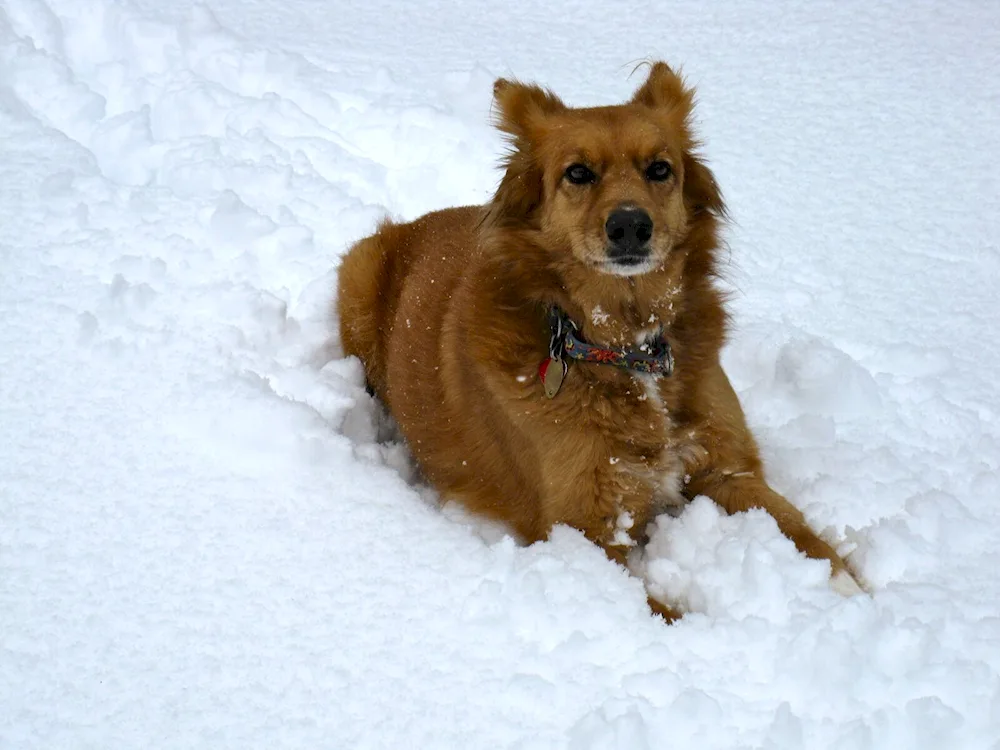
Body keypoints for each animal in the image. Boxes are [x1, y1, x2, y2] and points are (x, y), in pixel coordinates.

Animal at [336, 61, 860, 620]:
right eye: (578, 173)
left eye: (659, 169)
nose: (630, 225)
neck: (625, 343)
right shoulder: (584, 535)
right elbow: (662, 613)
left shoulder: (729, 472)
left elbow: (806, 535)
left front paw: (852, 594)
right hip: (358, 274)